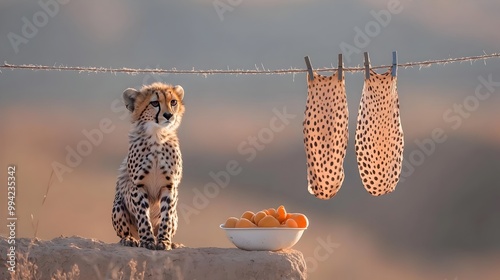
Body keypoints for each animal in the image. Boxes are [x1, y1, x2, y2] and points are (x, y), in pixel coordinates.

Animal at [111, 81, 186, 249]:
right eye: (154, 103)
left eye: (173, 102)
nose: (168, 115)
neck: (157, 136)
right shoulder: (138, 185)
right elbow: (143, 216)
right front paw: (147, 240)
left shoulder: (169, 186)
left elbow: (166, 216)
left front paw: (163, 241)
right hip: (118, 204)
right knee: (125, 232)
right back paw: (130, 239)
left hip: (176, 217)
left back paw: (172, 243)